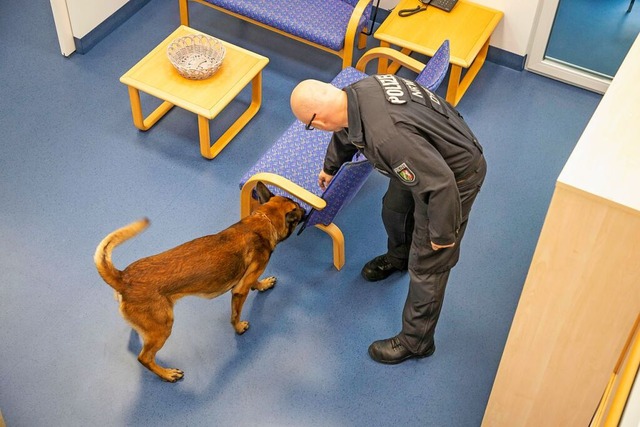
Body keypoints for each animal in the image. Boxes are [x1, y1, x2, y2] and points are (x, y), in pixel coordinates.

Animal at [94, 182, 304, 382]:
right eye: (297, 207)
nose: (305, 209)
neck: (263, 220)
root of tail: (123, 277)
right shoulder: (240, 290)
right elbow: (235, 315)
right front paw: (239, 328)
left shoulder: (248, 279)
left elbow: (256, 282)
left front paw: (264, 284)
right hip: (164, 328)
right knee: (144, 358)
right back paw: (167, 374)